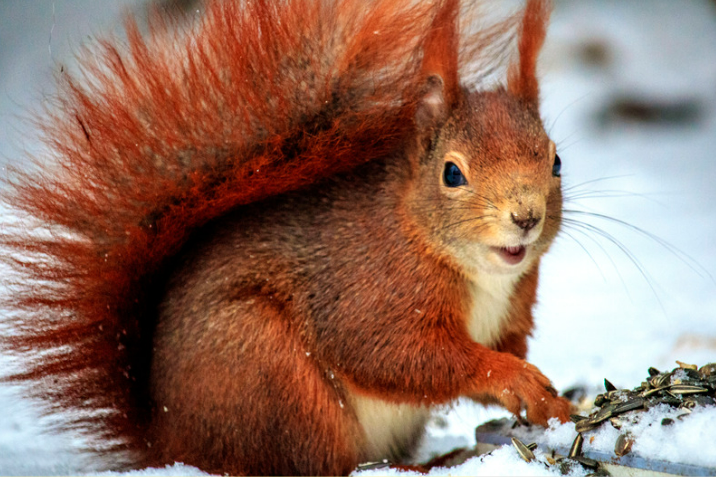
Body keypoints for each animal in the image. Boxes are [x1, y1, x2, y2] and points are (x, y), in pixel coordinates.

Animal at [0, 0, 571, 474]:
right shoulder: (370, 291)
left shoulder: (512, 309)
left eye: (556, 160)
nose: (526, 216)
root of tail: (170, 442)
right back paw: (416, 467)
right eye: (452, 174)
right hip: (271, 374)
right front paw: (513, 377)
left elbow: (502, 349)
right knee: (313, 464)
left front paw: (553, 402)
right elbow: (396, 355)